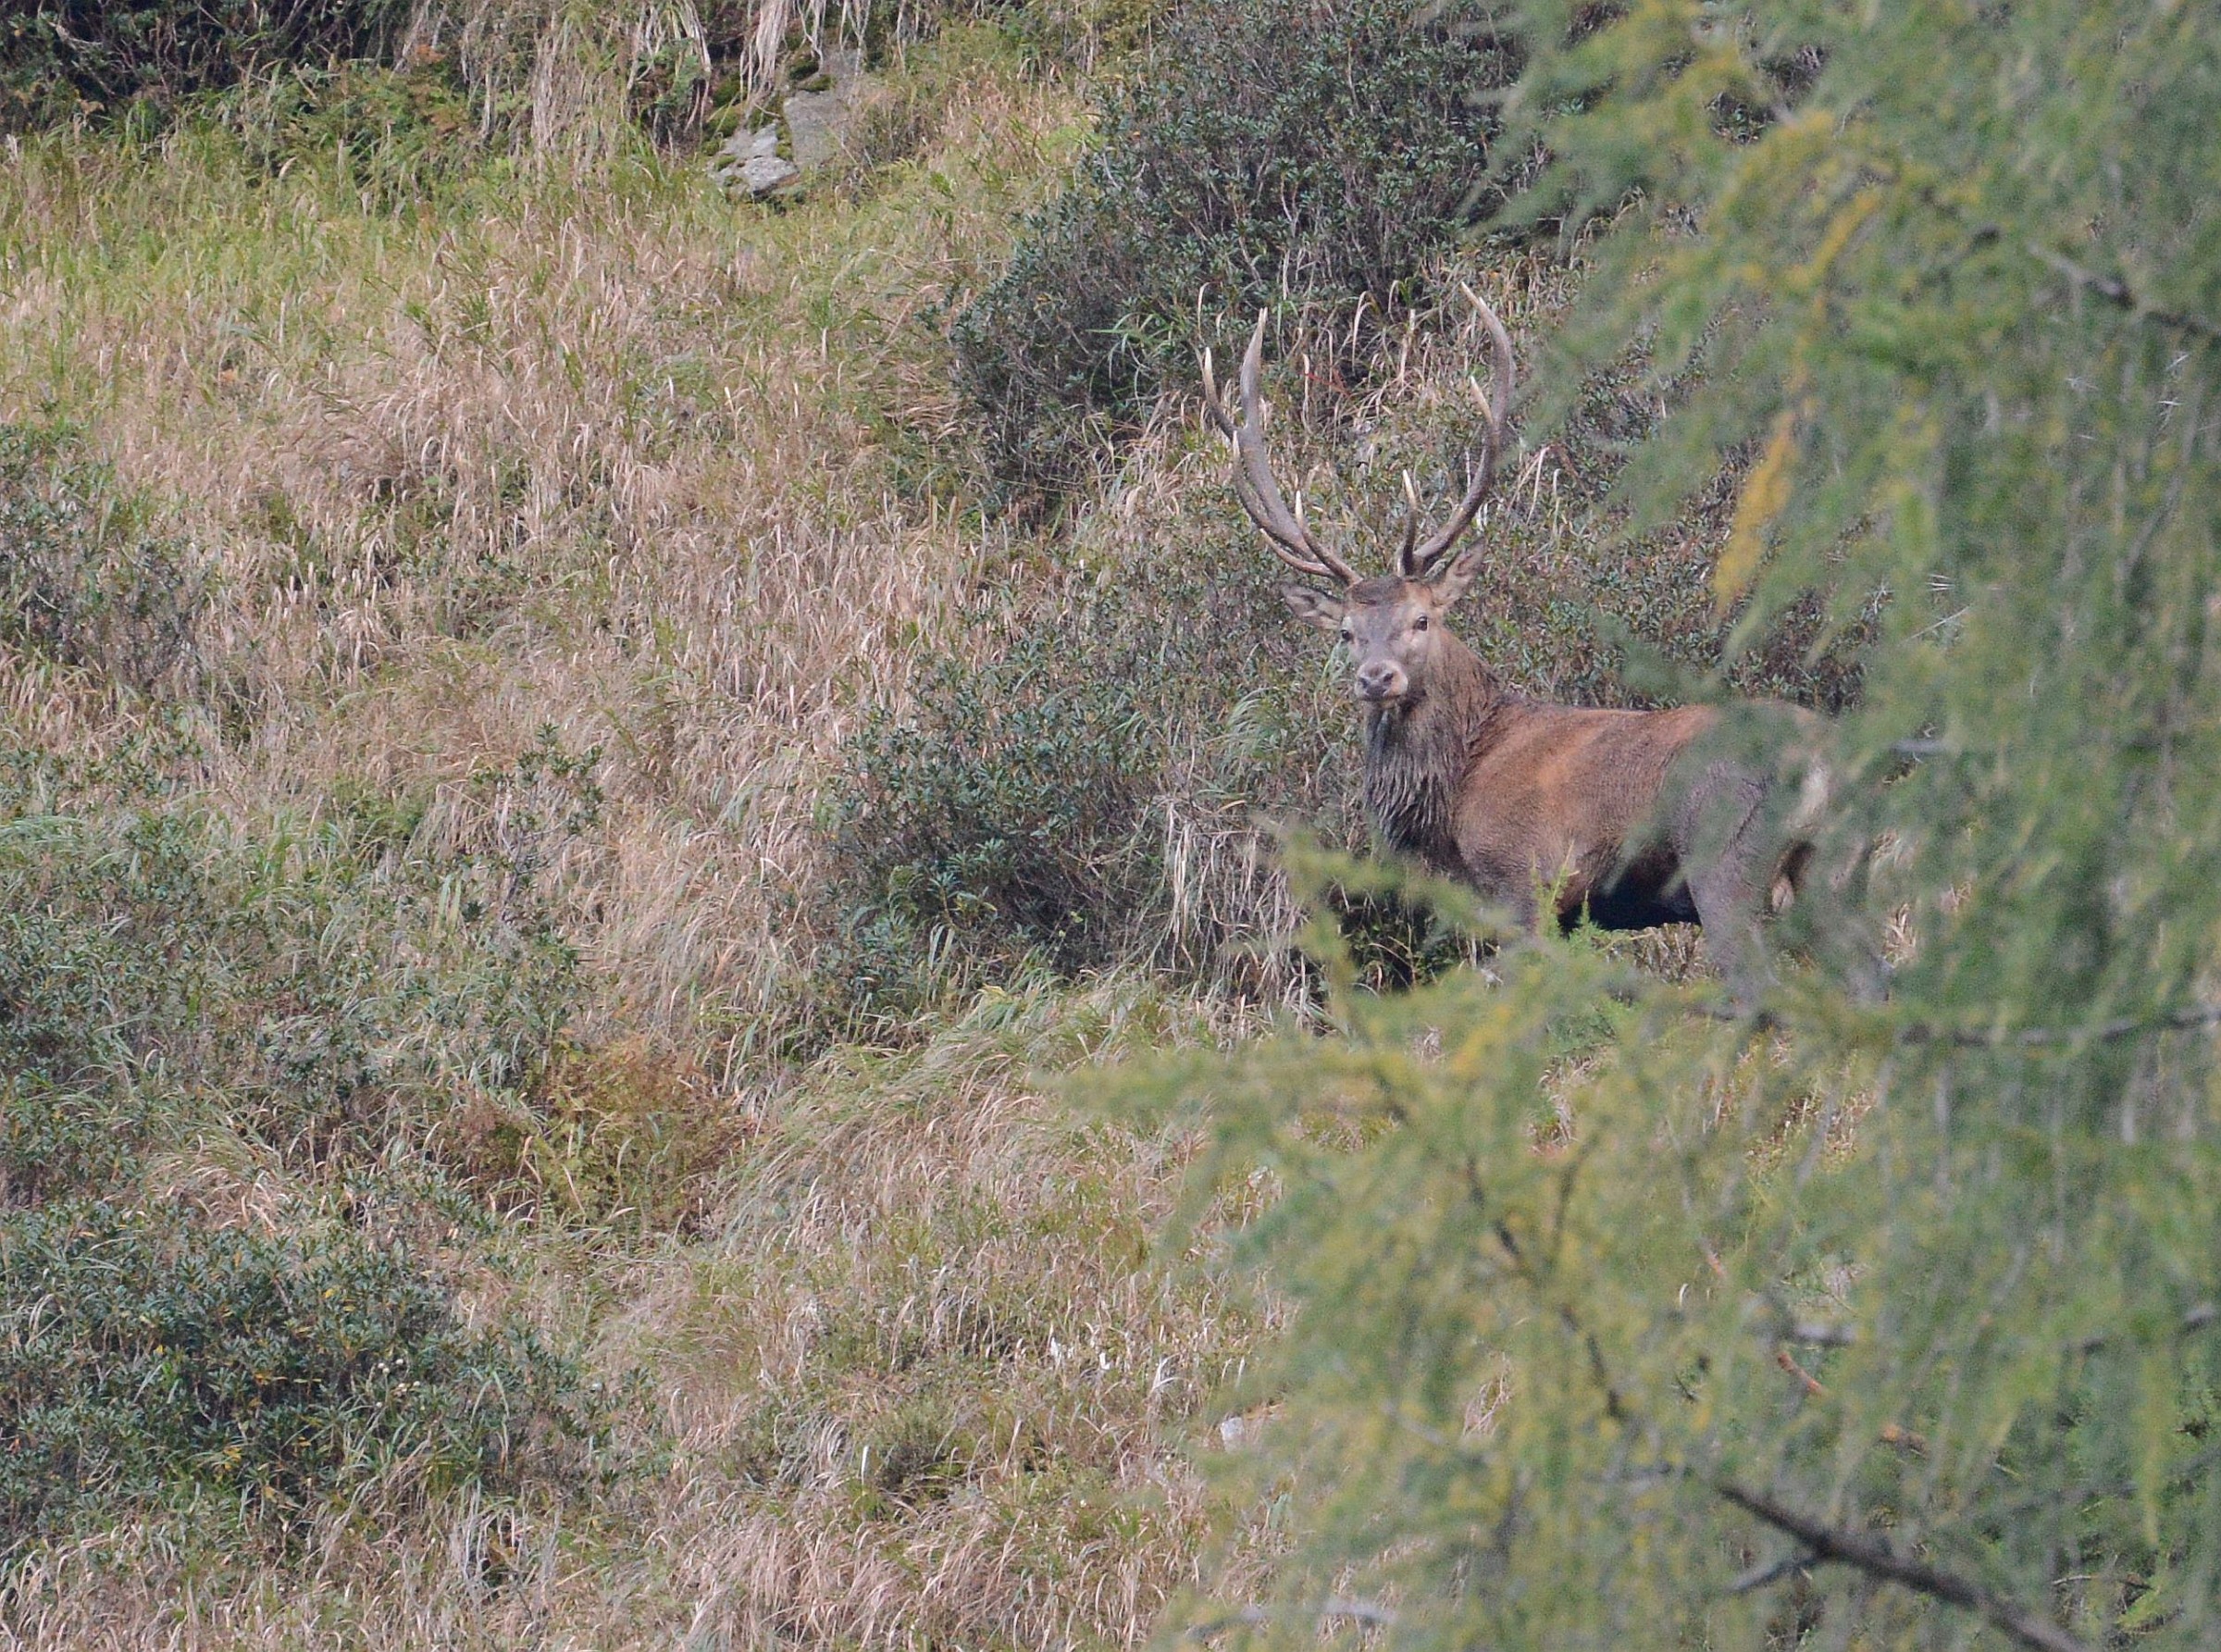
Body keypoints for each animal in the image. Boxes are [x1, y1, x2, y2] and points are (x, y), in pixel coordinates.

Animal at [1201, 294, 1846, 1002]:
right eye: (1346, 632)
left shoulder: (1524, 883)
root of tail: (1825, 760)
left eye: (1422, 619)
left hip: (1725, 864)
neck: (1456, 788)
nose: (1377, 678)